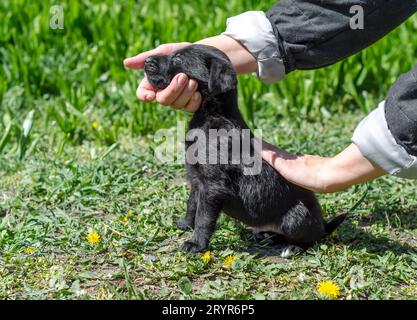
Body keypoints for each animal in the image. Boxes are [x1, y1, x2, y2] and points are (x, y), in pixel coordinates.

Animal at [143, 43, 344, 258]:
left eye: (178, 59)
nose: (146, 60)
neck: (212, 114)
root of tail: (323, 225)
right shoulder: (197, 181)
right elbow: (192, 204)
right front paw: (186, 224)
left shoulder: (213, 185)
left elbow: (204, 217)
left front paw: (196, 243)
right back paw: (263, 235)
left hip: (297, 216)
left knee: (311, 239)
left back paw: (293, 247)